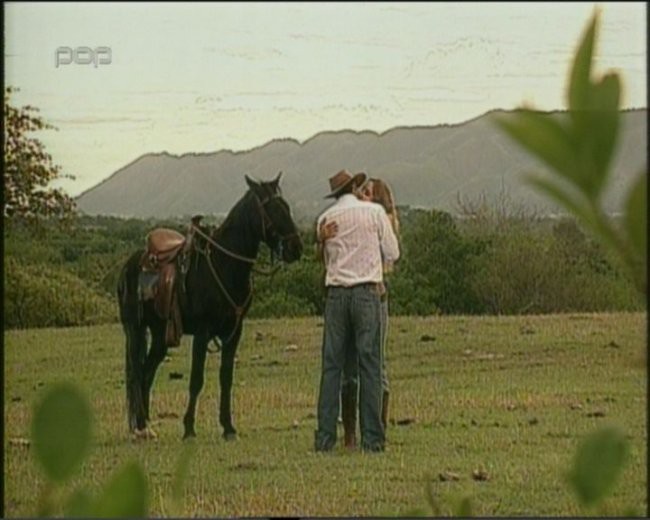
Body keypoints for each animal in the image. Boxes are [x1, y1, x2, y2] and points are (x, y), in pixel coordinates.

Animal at [116, 174, 302, 438]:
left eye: (286, 207)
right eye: (271, 209)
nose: (296, 248)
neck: (225, 265)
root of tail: (130, 264)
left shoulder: (233, 332)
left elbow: (226, 378)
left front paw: (228, 426)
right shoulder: (202, 332)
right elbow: (196, 379)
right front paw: (189, 428)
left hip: (161, 334)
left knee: (147, 371)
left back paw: (144, 426)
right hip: (134, 329)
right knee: (136, 372)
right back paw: (140, 427)